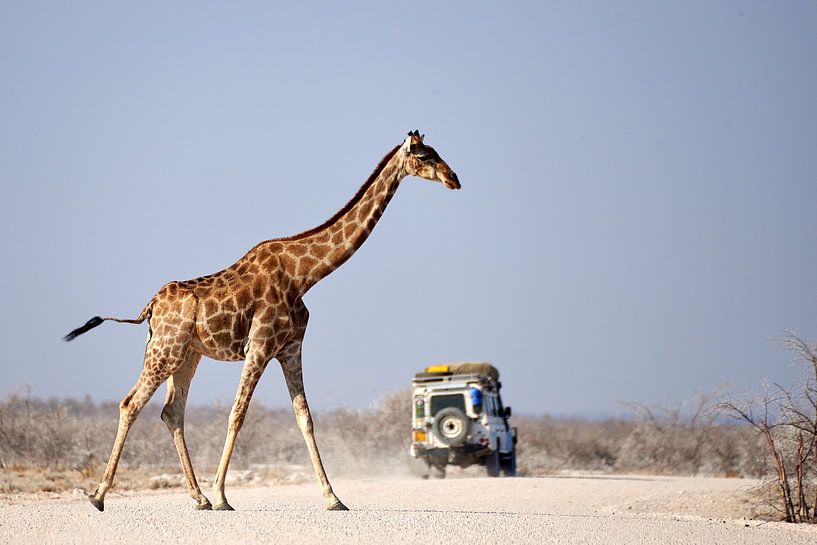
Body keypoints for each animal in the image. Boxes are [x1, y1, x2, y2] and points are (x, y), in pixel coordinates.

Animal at [64, 131, 460, 512]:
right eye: (424, 155)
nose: (454, 179)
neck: (304, 276)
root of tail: (150, 307)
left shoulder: (290, 348)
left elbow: (305, 418)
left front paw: (333, 498)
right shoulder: (259, 345)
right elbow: (237, 414)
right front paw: (223, 495)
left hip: (187, 355)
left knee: (171, 412)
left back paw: (198, 498)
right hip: (165, 349)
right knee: (130, 403)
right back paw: (99, 495)